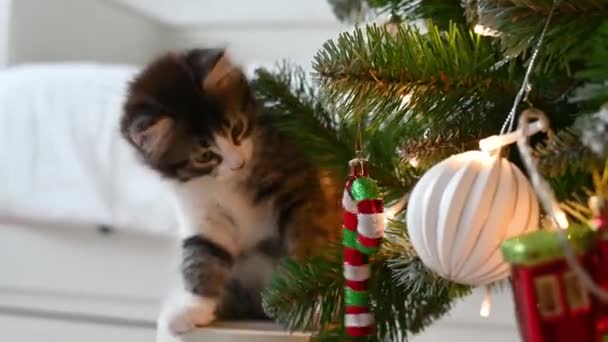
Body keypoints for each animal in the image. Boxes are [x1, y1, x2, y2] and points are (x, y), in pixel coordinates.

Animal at [120, 48, 342, 334]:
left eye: (236, 129)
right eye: (204, 156)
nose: (238, 163)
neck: (226, 183)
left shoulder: (300, 188)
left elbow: (307, 241)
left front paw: (304, 298)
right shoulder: (203, 213)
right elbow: (202, 254)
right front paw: (193, 307)